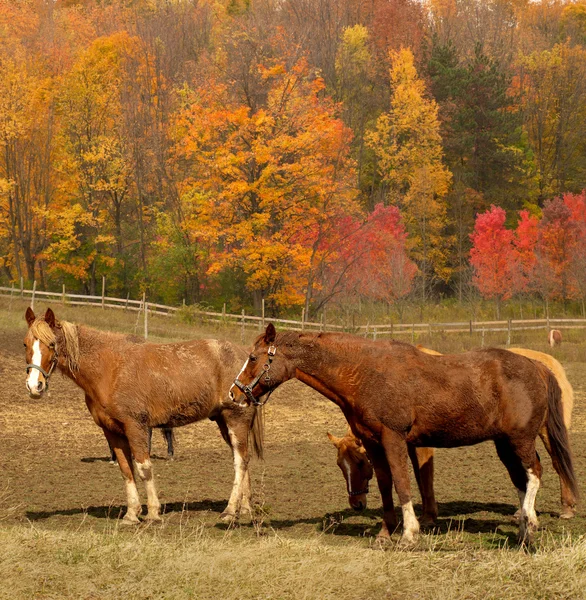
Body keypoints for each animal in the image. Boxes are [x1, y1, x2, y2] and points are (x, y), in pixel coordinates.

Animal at [24, 310, 264, 524]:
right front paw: (132, 514)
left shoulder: (136, 427)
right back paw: (244, 508)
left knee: (240, 461)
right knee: (241, 459)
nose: (35, 386)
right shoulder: (113, 432)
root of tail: (244, 357)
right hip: (224, 423)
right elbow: (126, 470)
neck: (110, 368)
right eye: (26, 344)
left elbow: (143, 468)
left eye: (51, 344)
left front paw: (153, 513)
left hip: (236, 420)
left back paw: (230, 511)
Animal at [229, 326, 576, 548]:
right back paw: (523, 527)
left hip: (521, 440)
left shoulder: (394, 439)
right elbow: (385, 484)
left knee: (535, 473)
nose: (235, 392)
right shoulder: (373, 442)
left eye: (253, 357)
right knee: (522, 479)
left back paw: (530, 523)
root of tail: (538, 367)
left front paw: (410, 533)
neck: (364, 372)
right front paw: (386, 531)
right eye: (343, 465)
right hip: (504, 443)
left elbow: (402, 481)